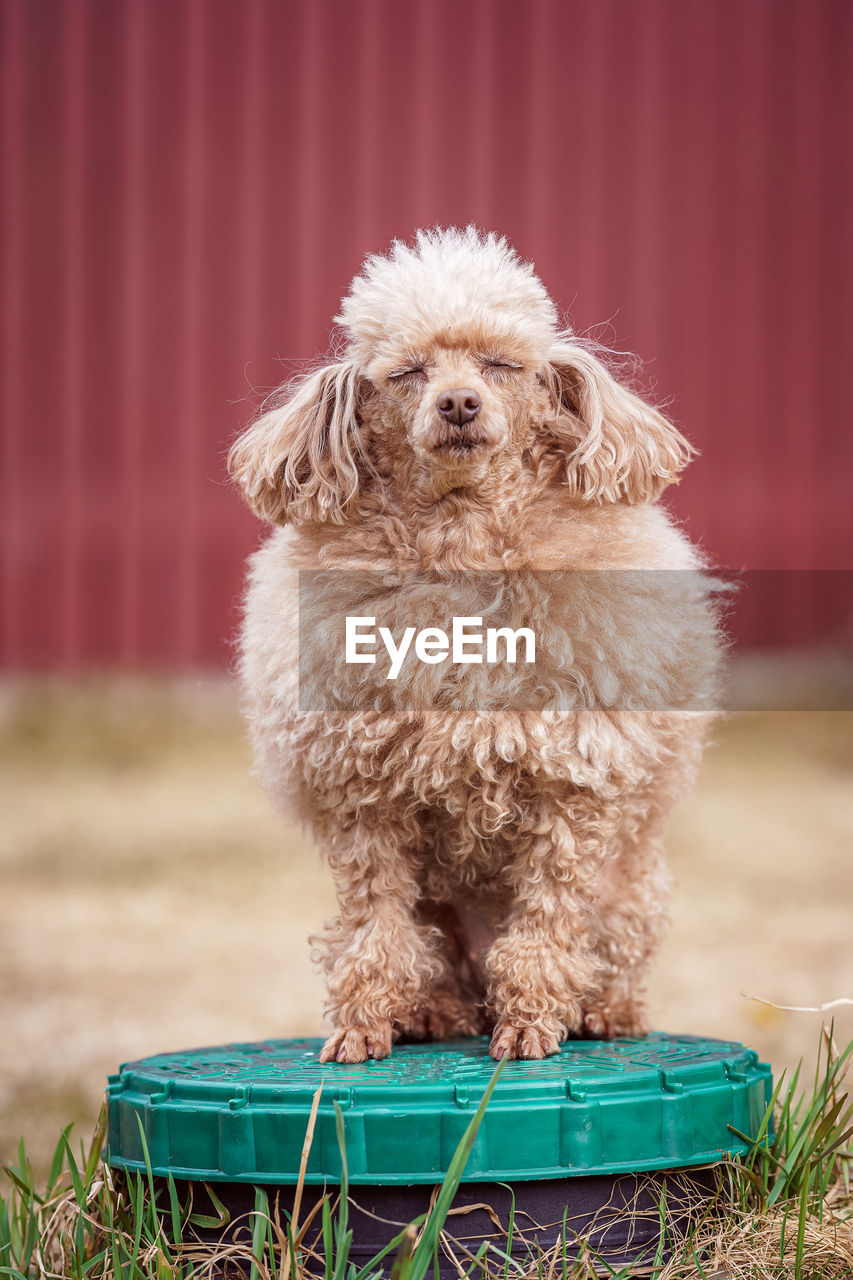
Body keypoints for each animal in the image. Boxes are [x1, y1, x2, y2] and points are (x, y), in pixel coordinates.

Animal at [229, 227, 722, 1059]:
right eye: (407, 373)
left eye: (501, 365)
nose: (458, 403)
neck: (461, 539)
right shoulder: (365, 800)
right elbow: (374, 929)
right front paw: (362, 1027)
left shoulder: (570, 791)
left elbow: (547, 922)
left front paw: (530, 1023)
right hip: (444, 921)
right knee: (431, 959)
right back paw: (433, 1012)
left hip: (628, 892)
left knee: (607, 952)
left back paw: (598, 1012)